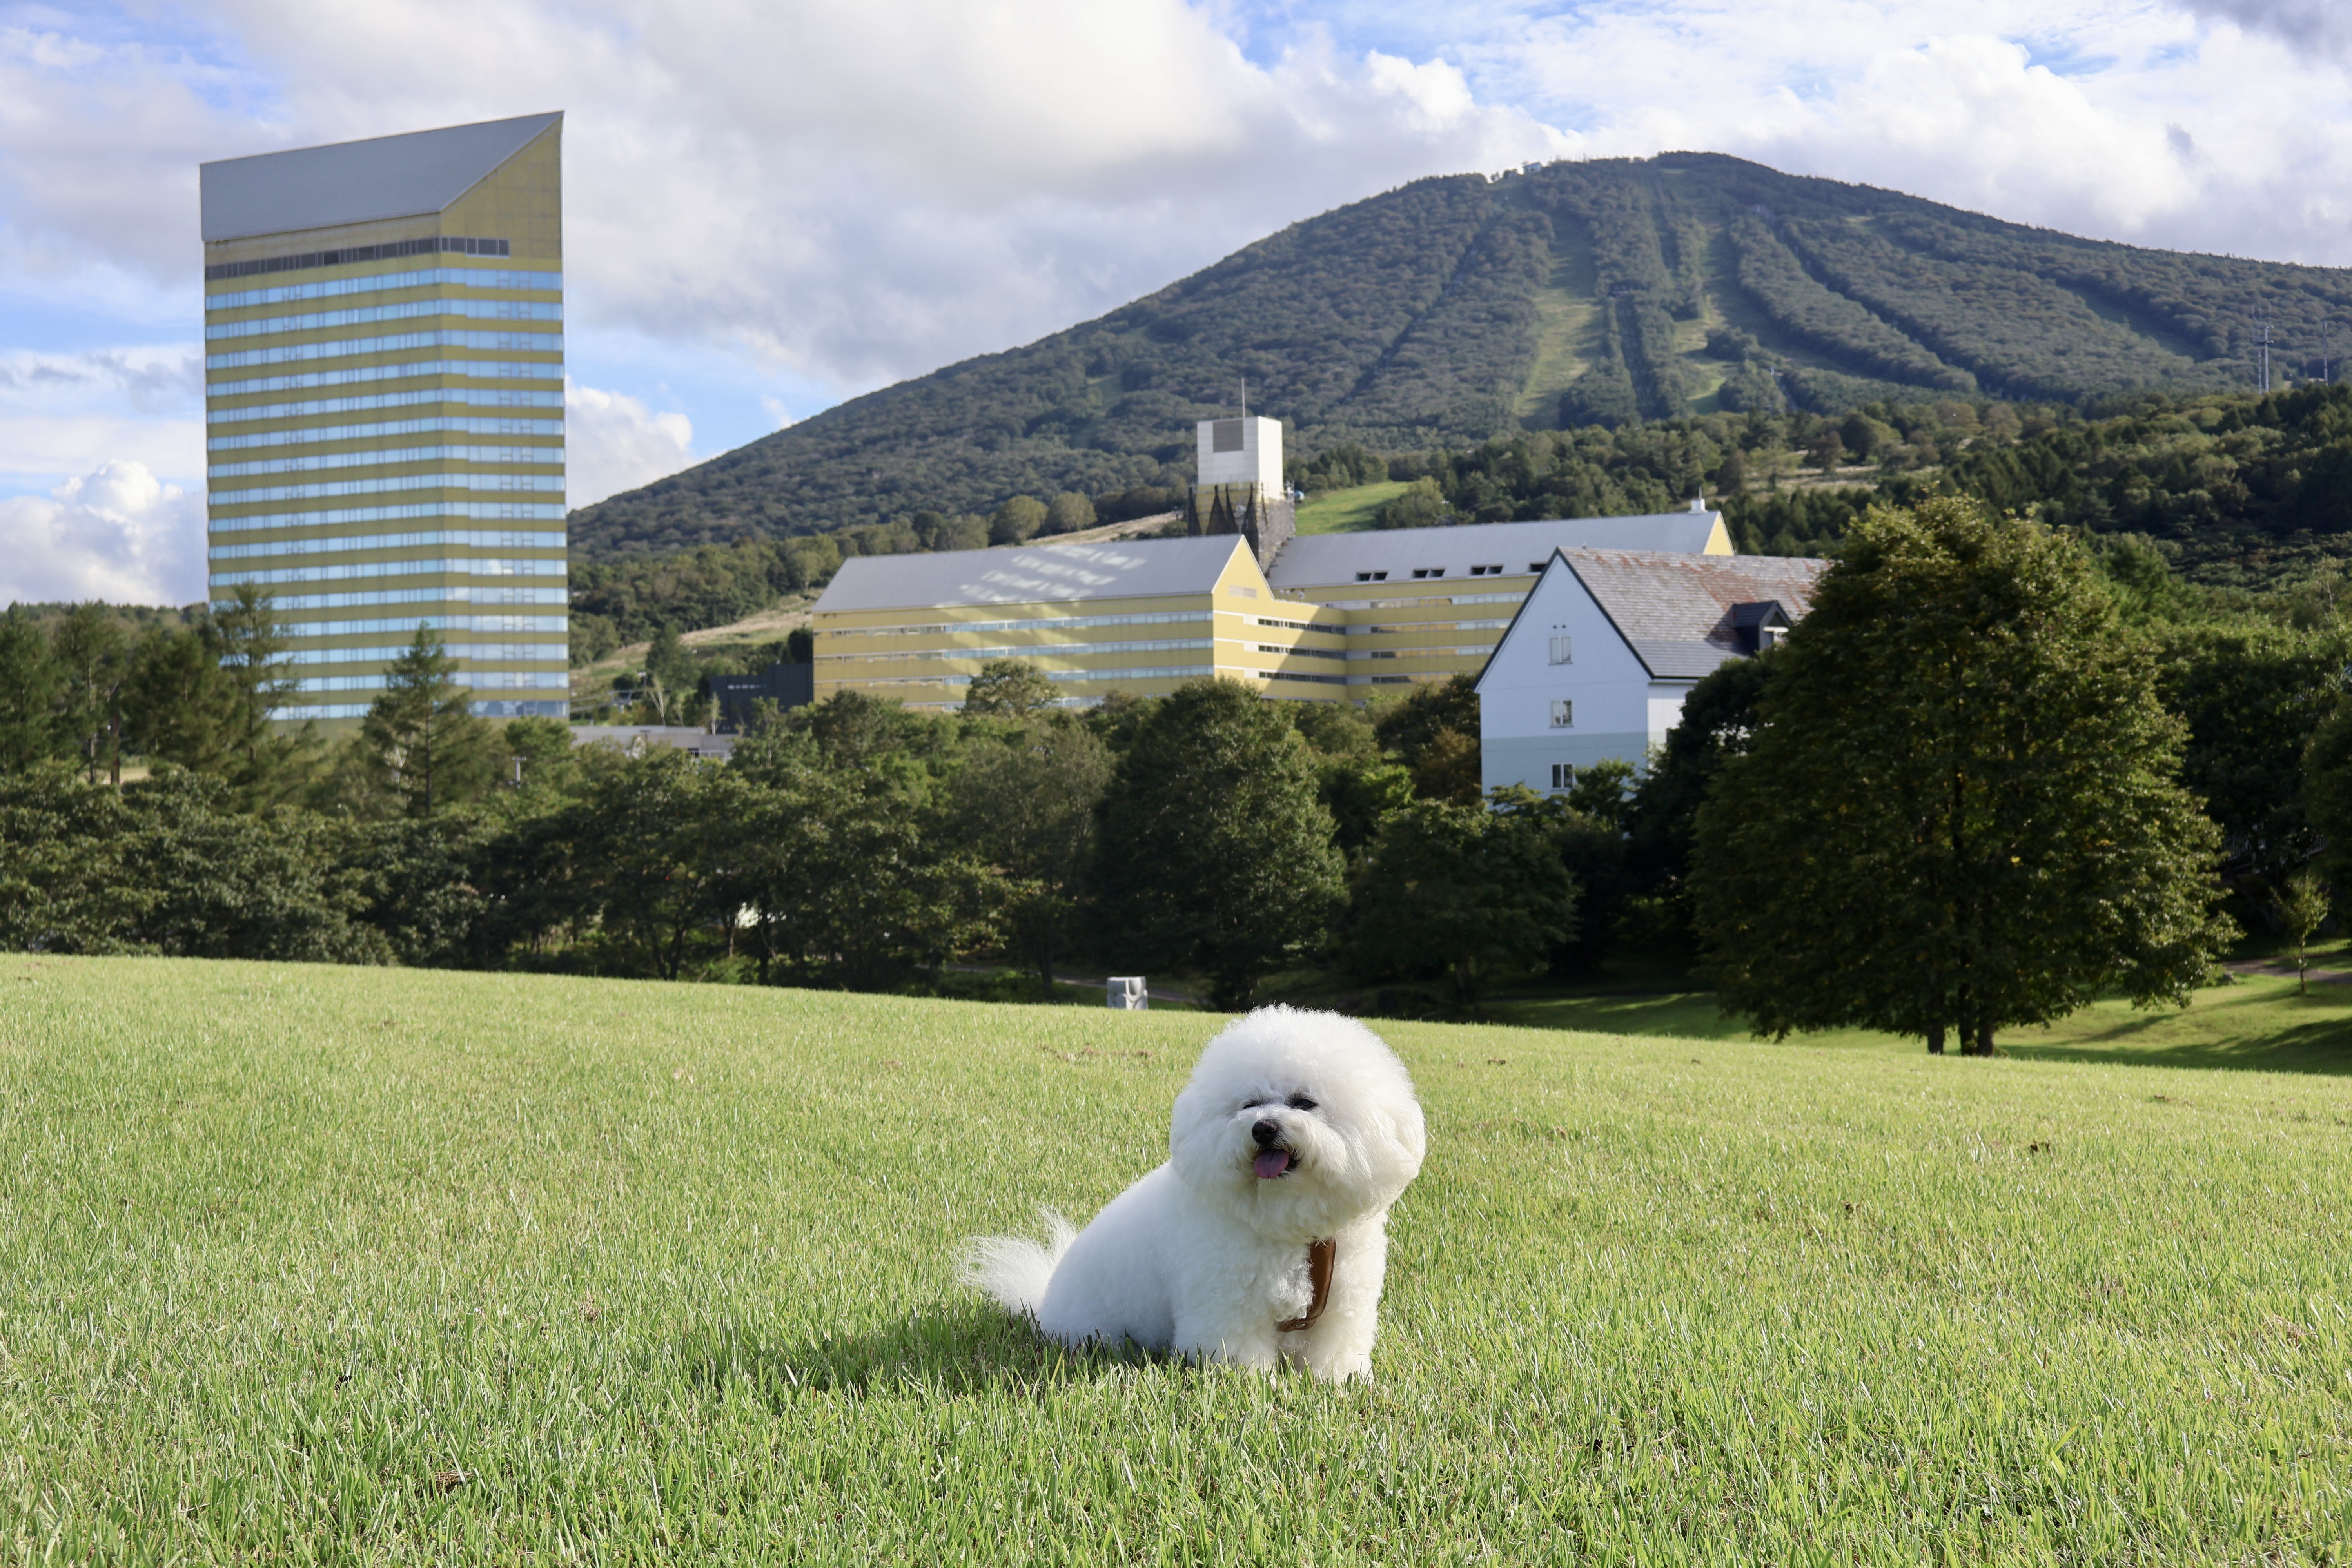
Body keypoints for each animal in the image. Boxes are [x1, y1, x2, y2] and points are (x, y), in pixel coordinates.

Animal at [960, 1006, 1430, 1382]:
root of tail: (1043, 1303)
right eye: (1250, 1104)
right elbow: (1239, 1355)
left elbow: (1336, 1351)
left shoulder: (1342, 1304)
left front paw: (1340, 1383)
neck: (1294, 1231)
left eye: (1304, 1102)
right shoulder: (1227, 1307)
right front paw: (1252, 1387)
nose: (1264, 1128)